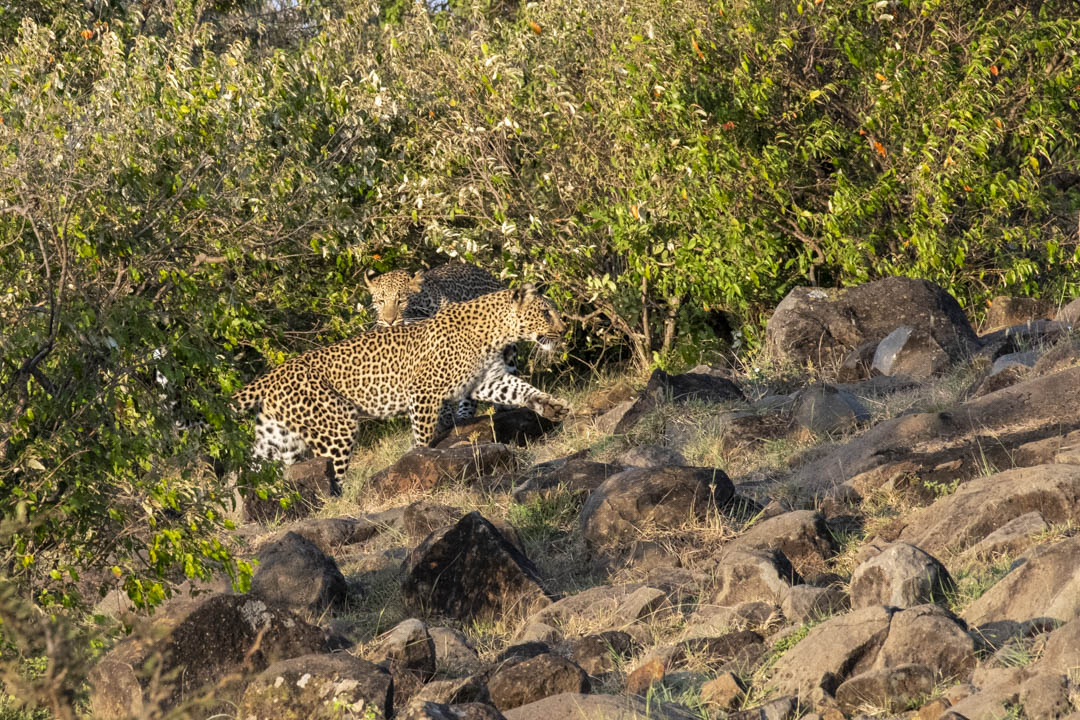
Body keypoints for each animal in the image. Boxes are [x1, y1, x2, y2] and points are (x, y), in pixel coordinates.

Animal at [232, 285, 570, 481]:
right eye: (545, 312)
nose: (565, 329)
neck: (496, 332)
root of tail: (273, 374)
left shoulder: (488, 380)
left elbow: (522, 391)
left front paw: (552, 407)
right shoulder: (424, 392)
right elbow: (423, 434)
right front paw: (417, 458)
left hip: (277, 439)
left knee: (251, 471)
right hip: (337, 427)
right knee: (333, 472)